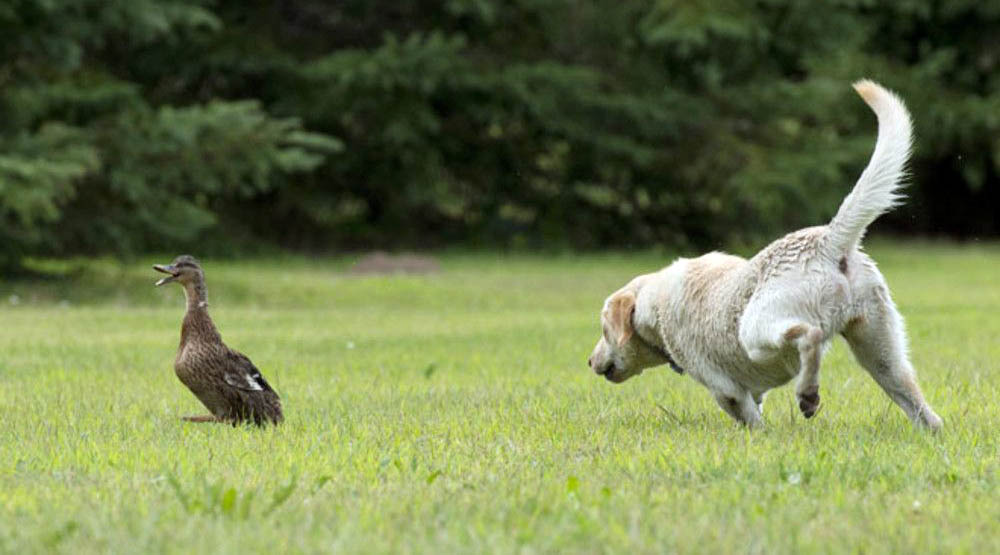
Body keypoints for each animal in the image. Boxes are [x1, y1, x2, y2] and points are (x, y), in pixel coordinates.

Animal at [588, 80, 948, 432]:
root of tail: (828, 240)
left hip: (756, 330)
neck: (652, 302)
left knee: (809, 336)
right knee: (923, 410)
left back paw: (808, 394)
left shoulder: (726, 389)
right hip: (880, 351)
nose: (590, 362)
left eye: (605, 330)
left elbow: (749, 418)